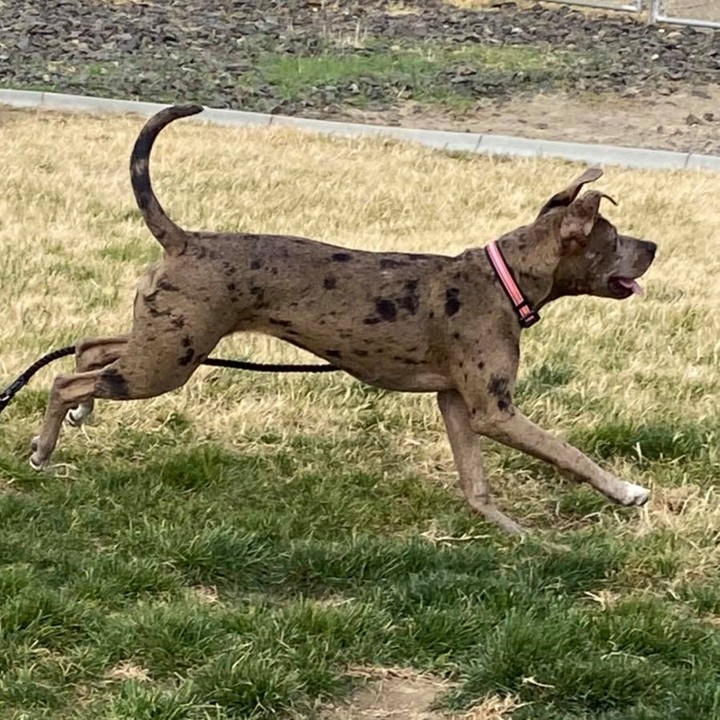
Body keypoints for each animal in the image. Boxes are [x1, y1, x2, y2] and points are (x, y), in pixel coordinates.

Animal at [29, 107, 660, 536]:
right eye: (614, 240)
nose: (654, 246)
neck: (503, 278)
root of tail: (185, 240)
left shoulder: (457, 403)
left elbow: (475, 483)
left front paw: (513, 533)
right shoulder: (495, 412)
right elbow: (569, 453)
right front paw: (626, 491)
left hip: (165, 339)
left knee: (89, 348)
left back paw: (76, 417)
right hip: (165, 363)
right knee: (65, 379)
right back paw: (43, 447)